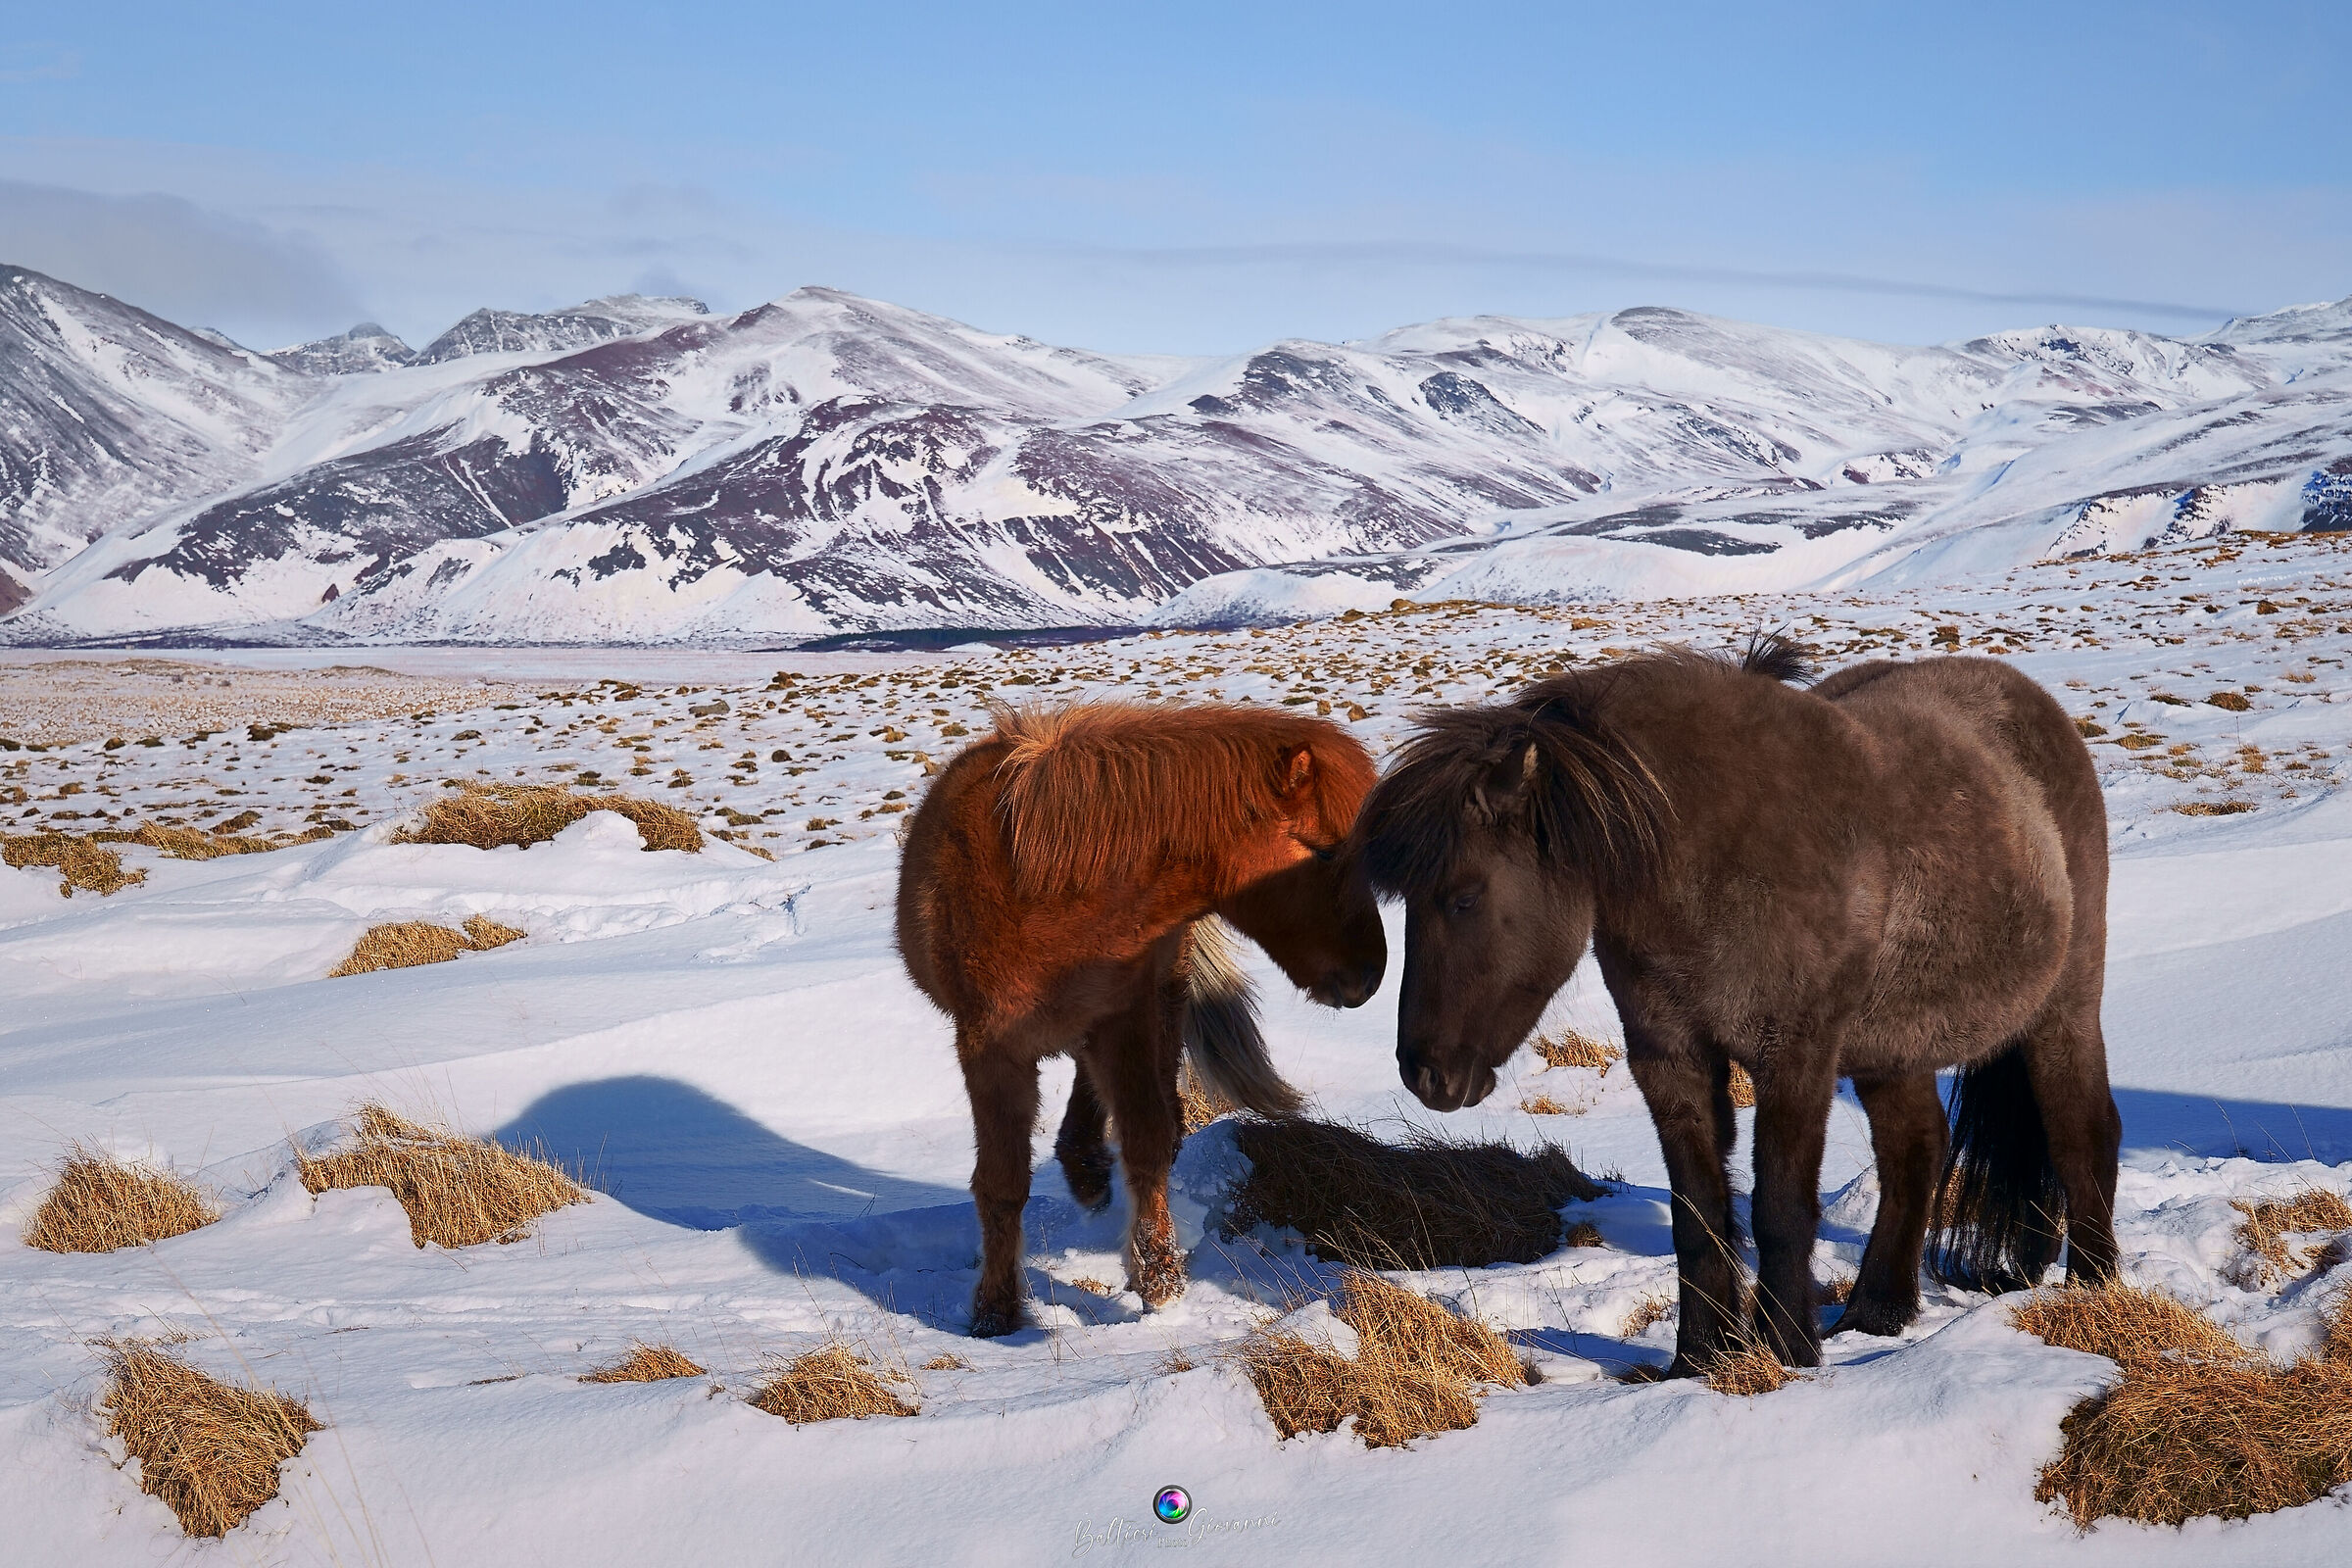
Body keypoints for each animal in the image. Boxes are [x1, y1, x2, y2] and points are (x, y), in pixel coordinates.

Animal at [897, 701, 1386, 1337]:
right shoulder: (991, 1050)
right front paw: (995, 1311)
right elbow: (1003, 1182)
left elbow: (1145, 1139)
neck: (1045, 886)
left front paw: (1160, 1286)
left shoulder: (1123, 1017)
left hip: (1157, 998)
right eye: (1324, 852)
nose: (1370, 975)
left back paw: (1090, 1166)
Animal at [1351, 638, 2119, 1374]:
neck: (1711, 851)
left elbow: (1780, 1207)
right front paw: (1697, 1357)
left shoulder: (1795, 1057)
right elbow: (1698, 1214)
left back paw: (2095, 1289)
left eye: (1464, 896)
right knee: (1915, 1150)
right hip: (1891, 1048)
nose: (1424, 1074)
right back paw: (1875, 1313)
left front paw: (1786, 1353)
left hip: (2064, 1007)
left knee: (2083, 1132)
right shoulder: (1671, 1059)